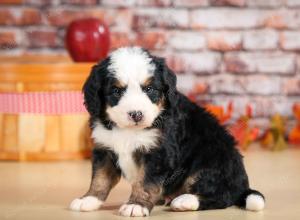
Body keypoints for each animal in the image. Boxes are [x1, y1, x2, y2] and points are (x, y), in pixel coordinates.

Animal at [68, 46, 264, 217]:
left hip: (211, 159)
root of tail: (242, 187)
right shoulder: (105, 148)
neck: (129, 131)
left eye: (149, 89)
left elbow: (146, 182)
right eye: (116, 91)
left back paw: (184, 201)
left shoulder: (158, 153)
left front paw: (136, 205)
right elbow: (100, 178)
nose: (136, 114)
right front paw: (88, 199)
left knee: (221, 196)